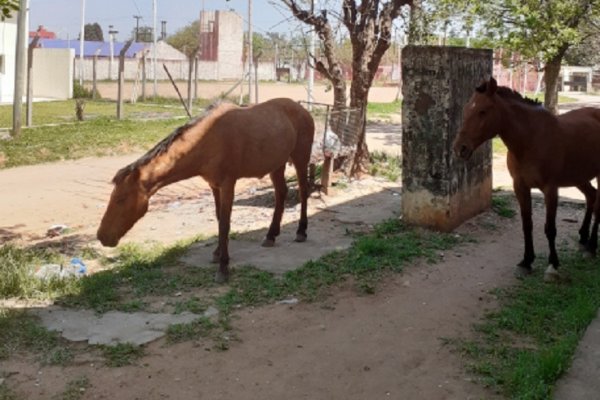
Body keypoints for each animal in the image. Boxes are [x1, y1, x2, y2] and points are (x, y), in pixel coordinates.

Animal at [96, 98, 316, 282]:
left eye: (121, 199)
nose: (102, 236)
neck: (208, 140)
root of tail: (303, 109)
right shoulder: (214, 185)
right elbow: (219, 219)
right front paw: (218, 253)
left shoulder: (228, 184)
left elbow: (225, 223)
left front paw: (223, 268)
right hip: (277, 165)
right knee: (281, 193)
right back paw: (271, 235)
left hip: (300, 158)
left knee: (303, 191)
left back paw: (301, 231)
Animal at [454, 77, 600, 282]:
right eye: (467, 109)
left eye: (482, 111)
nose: (460, 148)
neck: (531, 139)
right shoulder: (520, 187)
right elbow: (527, 224)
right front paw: (526, 261)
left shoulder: (550, 189)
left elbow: (550, 228)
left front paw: (553, 265)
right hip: (579, 177)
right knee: (591, 196)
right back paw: (583, 237)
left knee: (597, 207)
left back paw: (592, 247)